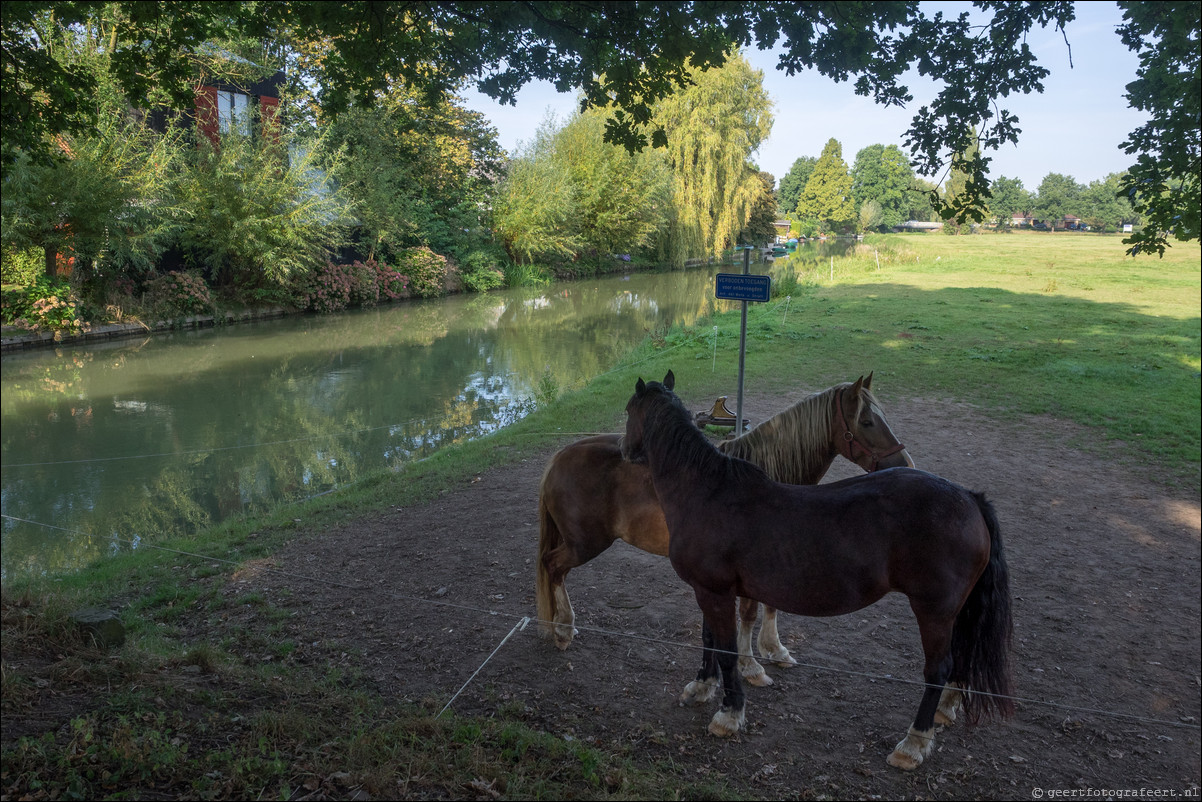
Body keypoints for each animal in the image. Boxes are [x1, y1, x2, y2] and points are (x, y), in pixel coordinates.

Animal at [536, 375, 908, 682]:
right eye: (866, 421)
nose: (904, 464)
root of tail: (560, 456)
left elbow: (770, 607)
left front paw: (774, 649)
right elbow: (748, 613)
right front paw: (750, 665)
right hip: (585, 544)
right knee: (553, 567)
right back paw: (563, 630)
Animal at [620, 372, 1014, 769]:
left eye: (627, 410)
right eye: (867, 421)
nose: (623, 449)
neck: (708, 491)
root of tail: (969, 498)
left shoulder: (714, 592)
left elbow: (728, 650)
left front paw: (729, 714)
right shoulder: (710, 590)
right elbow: (710, 639)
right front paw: (702, 686)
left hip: (934, 611)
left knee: (938, 670)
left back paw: (913, 743)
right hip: (955, 612)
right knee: (960, 657)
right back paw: (943, 713)